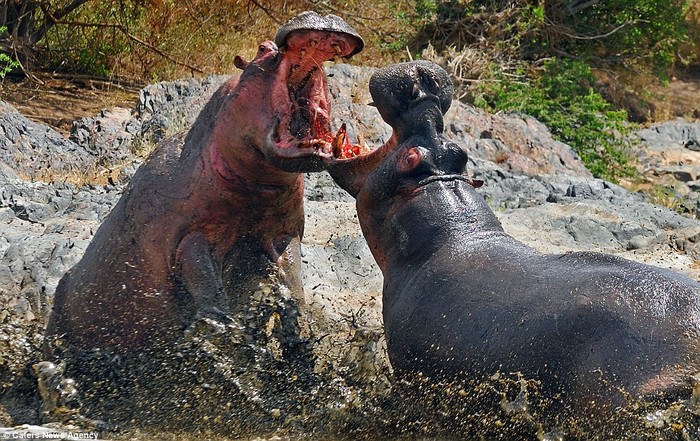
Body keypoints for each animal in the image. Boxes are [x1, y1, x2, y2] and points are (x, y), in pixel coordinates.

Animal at [45, 11, 366, 354]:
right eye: (262, 48)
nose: (322, 15)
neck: (254, 189)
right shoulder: (189, 235)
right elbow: (206, 282)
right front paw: (223, 334)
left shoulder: (284, 230)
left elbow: (292, 280)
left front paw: (300, 329)